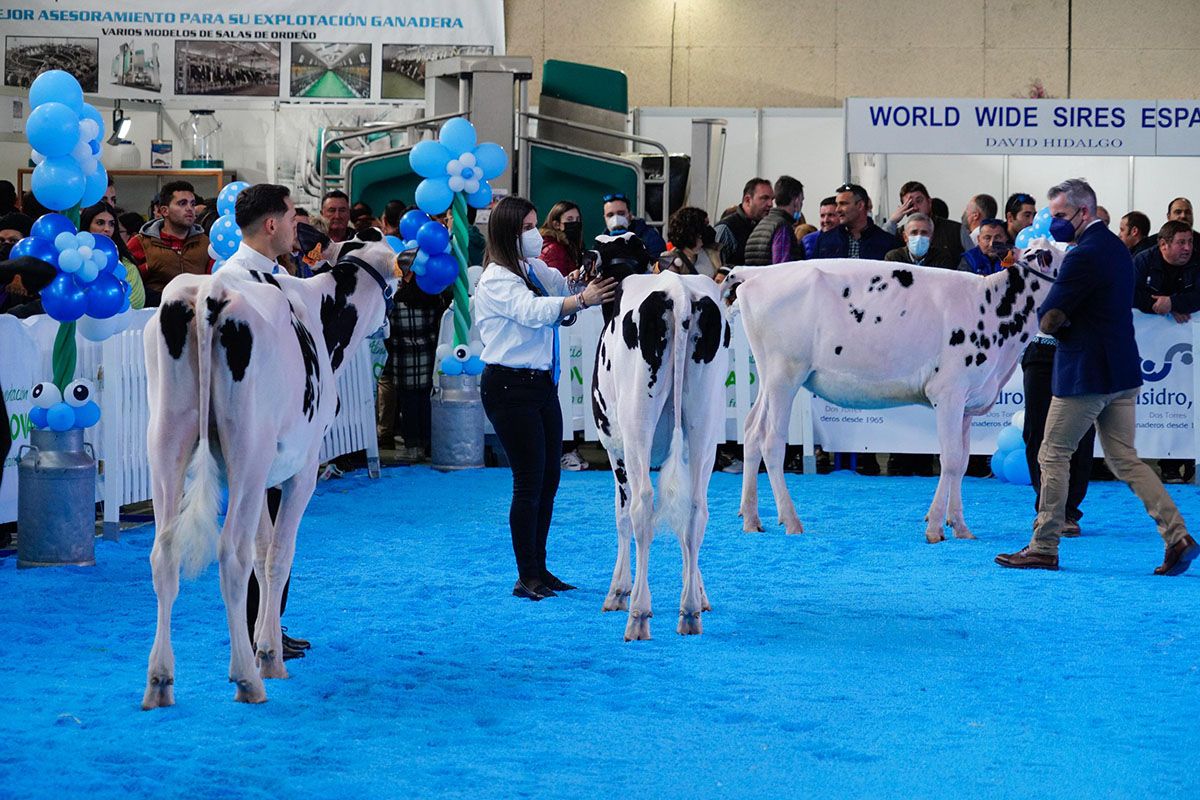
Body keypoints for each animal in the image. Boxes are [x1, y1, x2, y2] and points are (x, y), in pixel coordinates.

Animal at [139, 230, 393, 705]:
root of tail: (209, 292)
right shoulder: (301, 469)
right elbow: (277, 555)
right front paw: (270, 655)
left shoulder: (259, 481)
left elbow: (262, 552)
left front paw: (264, 641)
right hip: (247, 448)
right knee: (230, 554)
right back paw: (247, 678)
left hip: (167, 441)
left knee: (164, 554)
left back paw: (160, 680)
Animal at [590, 235, 729, 642]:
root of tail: (678, 292)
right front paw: (700, 592)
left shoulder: (615, 448)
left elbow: (621, 514)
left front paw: (618, 591)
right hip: (704, 425)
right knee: (697, 508)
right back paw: (690, 611)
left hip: (637, 426)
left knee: (642, 508)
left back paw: (638, 614)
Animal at [724, 242, 1065, 544]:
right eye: (1052, 255)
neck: (993, 308)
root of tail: (758, 272)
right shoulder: (948, 393)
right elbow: (951, 459)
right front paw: (935, 528)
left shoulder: (968, 402)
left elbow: (963, 461)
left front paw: (960, 526)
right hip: (785, 375)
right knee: (772, 441)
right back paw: (791, 521)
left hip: (768, 377)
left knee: (752, 431)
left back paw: (751, 519)